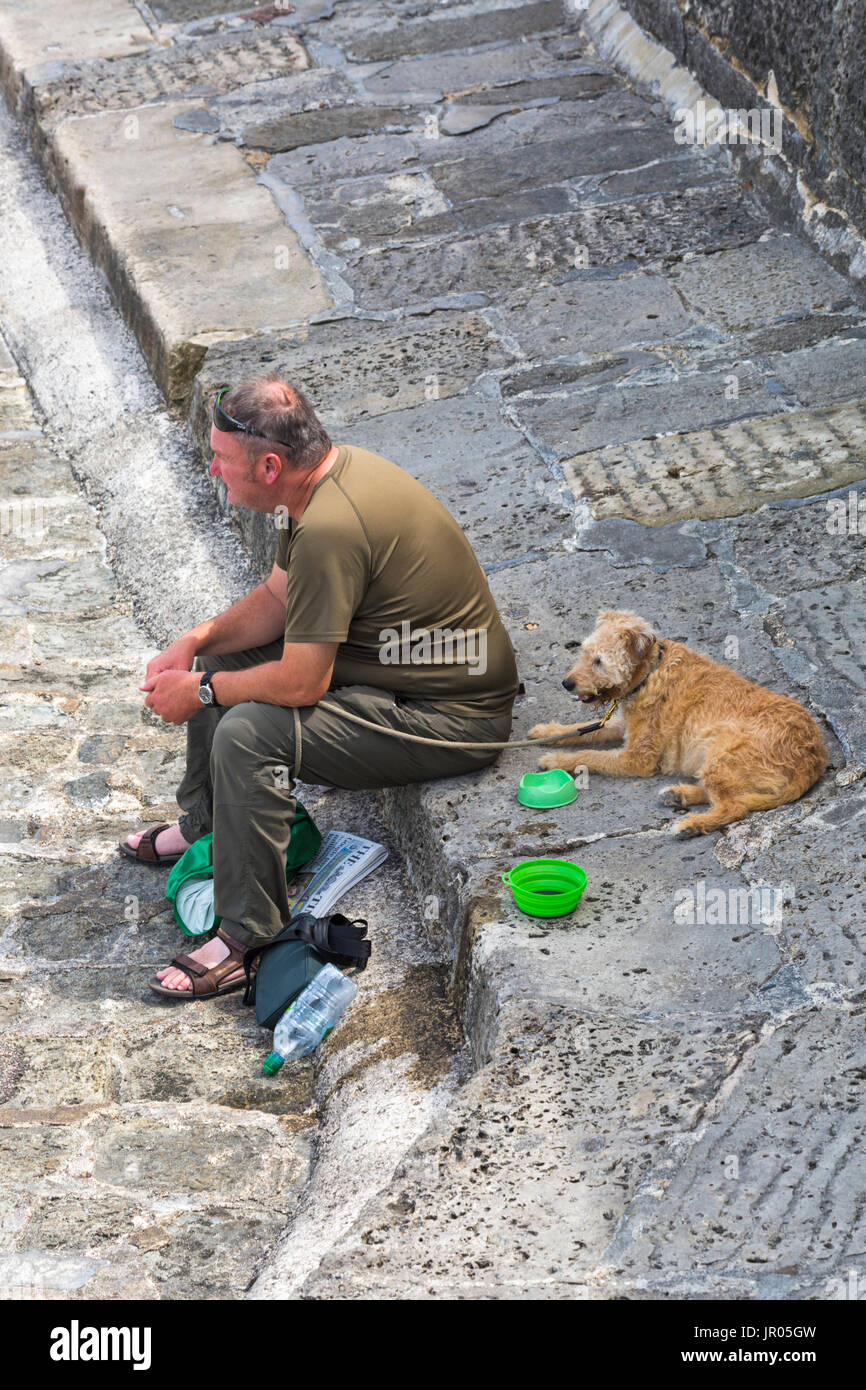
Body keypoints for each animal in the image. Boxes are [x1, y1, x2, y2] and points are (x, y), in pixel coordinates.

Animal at [528, 614, 828, 839]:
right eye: (584, 652)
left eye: (599, 661)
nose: (566, 683)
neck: (649, 672)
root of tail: (813, 759)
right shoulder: (622, 726)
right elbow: (584, 730)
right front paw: (546, 732)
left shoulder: (636, 759)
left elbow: (589, 756)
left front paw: (556, 760)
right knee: (728, 796)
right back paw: (679, 795)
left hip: (722, 753)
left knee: (735, 807)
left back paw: (693, 824)